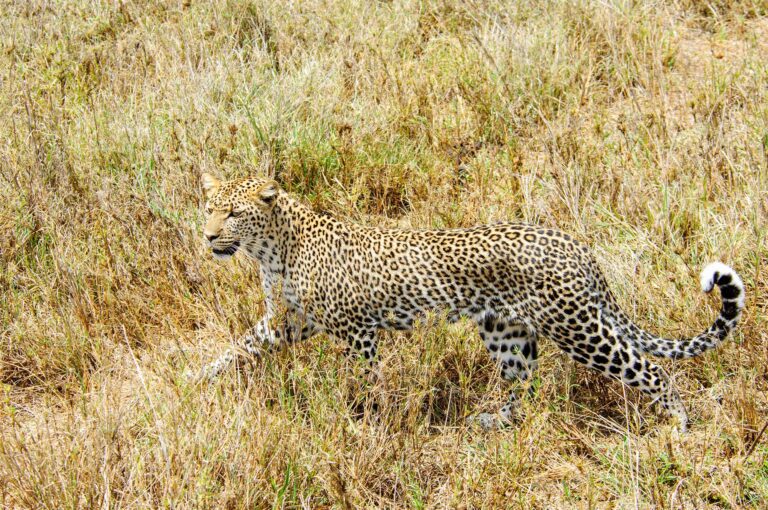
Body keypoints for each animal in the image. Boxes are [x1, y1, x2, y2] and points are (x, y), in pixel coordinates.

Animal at [196, 172, 744, 430]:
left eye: (233, 213)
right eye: (209, 208)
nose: (207, 236)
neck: (271, 249)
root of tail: (575, 245)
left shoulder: (357, 332)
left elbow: (366, 381)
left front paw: (367, 422)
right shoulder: (289, 323)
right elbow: (239, 346)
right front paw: (195, 379)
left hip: (578, 327)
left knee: (650, 369)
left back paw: (677, 424)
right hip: (506, 331)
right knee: (523, 386)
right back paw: (493, 421)